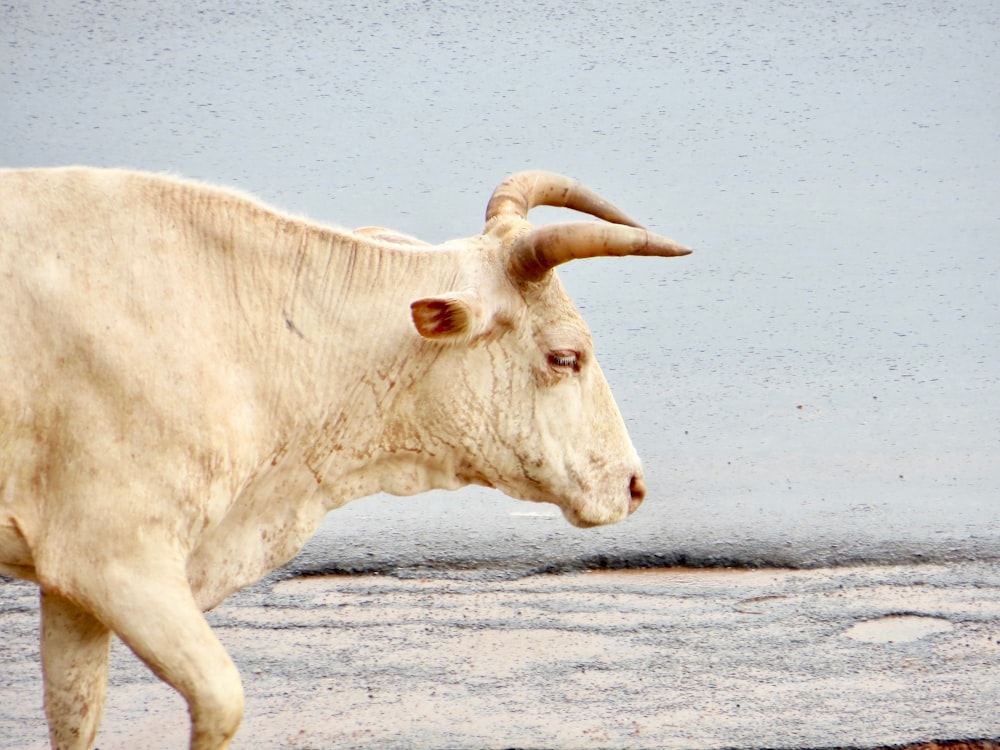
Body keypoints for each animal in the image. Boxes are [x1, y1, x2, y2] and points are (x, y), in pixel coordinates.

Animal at [0, 167, 688, 748]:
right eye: (564, 356)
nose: (632, 485)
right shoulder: (116, 557)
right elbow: (221, 700)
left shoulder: (73, 580)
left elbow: (75, 712)